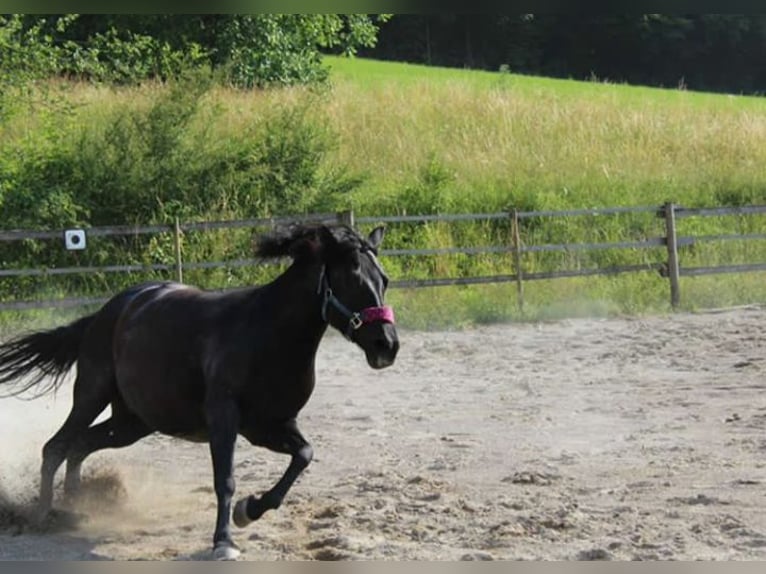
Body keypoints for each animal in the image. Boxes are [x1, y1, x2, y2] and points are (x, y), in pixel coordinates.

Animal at [1, 225, 402, 564]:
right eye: (351, 279)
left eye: (383, 280)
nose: (387, 346)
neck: (269, 336)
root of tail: (105, 312)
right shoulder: (224, 417)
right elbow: (225, 479)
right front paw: (223, 541)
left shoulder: (271, 425)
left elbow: (303, 455)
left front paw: (249, 510)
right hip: (92, 394)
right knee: (56, 446)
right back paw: (42, 516)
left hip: (133, 422)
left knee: (81, 444)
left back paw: (75, 509)